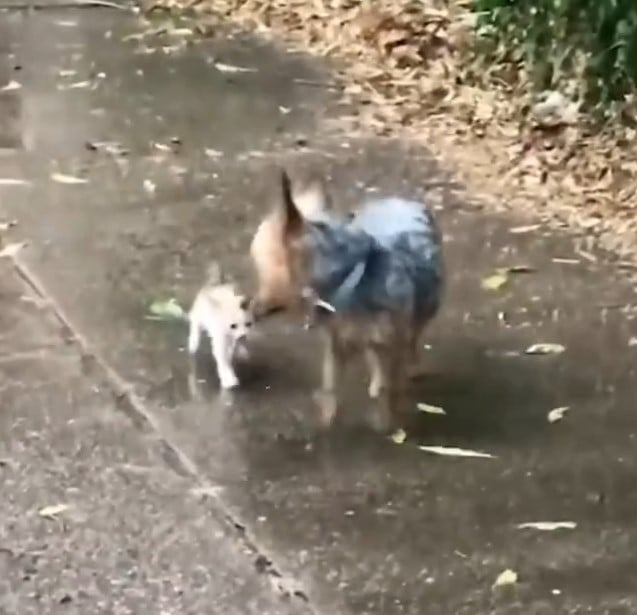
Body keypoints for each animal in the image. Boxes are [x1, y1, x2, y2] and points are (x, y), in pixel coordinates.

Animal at [248, 168, 442, 428]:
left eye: (262, 270)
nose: (248, 305)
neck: (349, 281)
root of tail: (404, 200)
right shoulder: (336, 344)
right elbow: (331, 388)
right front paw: (328, 422)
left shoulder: (392, 345)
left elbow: (391, 391)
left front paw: (389, 424)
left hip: (426, 306)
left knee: (413, 338)